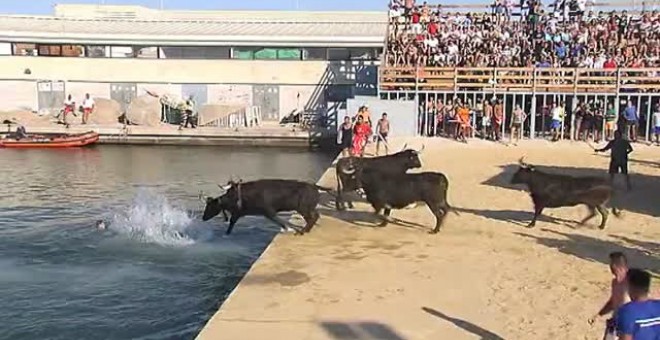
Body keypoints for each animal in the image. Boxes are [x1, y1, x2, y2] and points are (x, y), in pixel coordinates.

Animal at [201, 179, 336, 235]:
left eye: (209, 206)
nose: (203, 218)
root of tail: (315, 186)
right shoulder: (238, 214)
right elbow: (231, 224)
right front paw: (226, 234)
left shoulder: (269, 212)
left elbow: (280, 221)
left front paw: (288, 229)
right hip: (307, 208)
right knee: (315, 216)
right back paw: (305, 230)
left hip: (304, 208)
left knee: (312, 218)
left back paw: (302, 231)